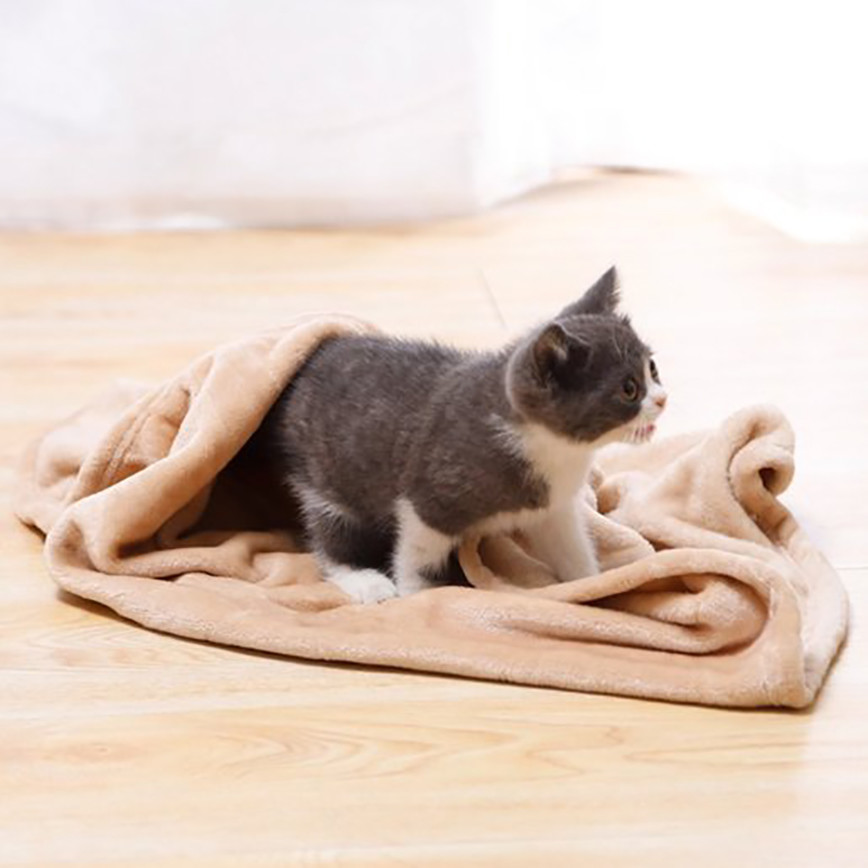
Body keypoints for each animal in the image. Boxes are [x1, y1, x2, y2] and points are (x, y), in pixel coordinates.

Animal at [256, 267, 666, 604]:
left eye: (652, 368)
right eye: (629, 389)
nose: (662, 399)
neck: (557, 449)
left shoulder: (553, 508)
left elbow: (570, 546)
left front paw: (591, 584)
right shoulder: (430, 498)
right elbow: (419, 552)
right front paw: (416, 592)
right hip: (324, 476)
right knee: (331, 534)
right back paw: (365, 582)